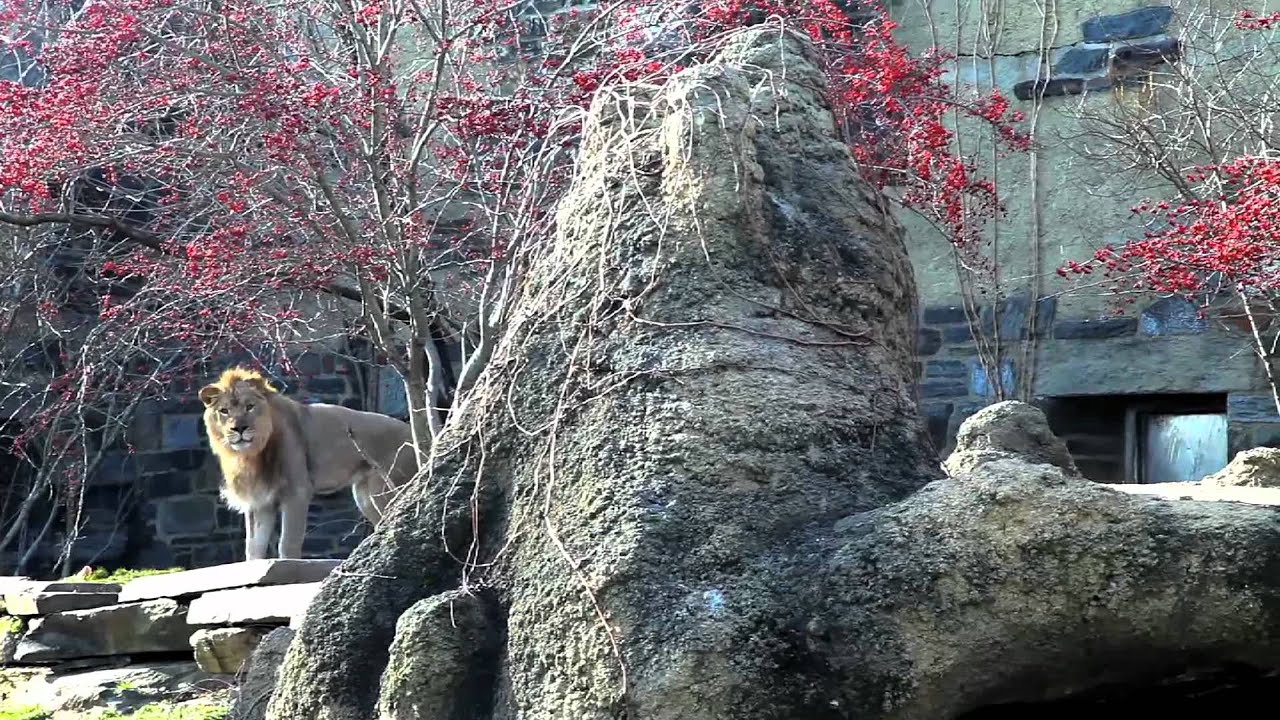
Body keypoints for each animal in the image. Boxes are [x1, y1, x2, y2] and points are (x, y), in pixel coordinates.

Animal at [198, 367, 419, 560]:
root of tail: (414, 435)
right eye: (224, 411)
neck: (251, 454)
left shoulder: (297, 491)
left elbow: (288, 543)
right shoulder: (259, 500)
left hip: (384, 490)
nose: (239, 428)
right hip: (365, 496)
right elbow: (253, 547)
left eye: (249, 406)